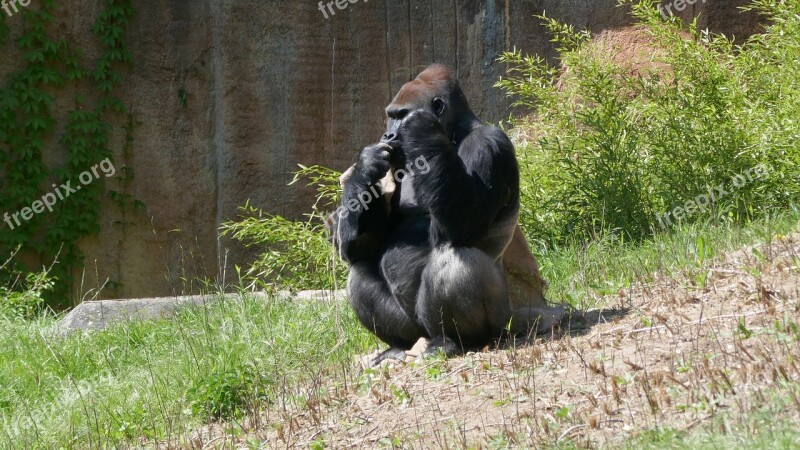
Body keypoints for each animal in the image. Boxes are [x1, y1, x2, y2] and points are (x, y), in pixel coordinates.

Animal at [332, 64, 564, 362]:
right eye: (390, 117)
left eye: (402, 116)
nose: (387, 136)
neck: (457, 132)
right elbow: (362, 246)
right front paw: (365, 167)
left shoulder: (488, 144)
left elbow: (464, 227)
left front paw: (422, 130)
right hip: (418, 330)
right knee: (359, 269)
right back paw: (399, 345)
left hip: (505, 321)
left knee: (452, 256)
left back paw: (455, 340)